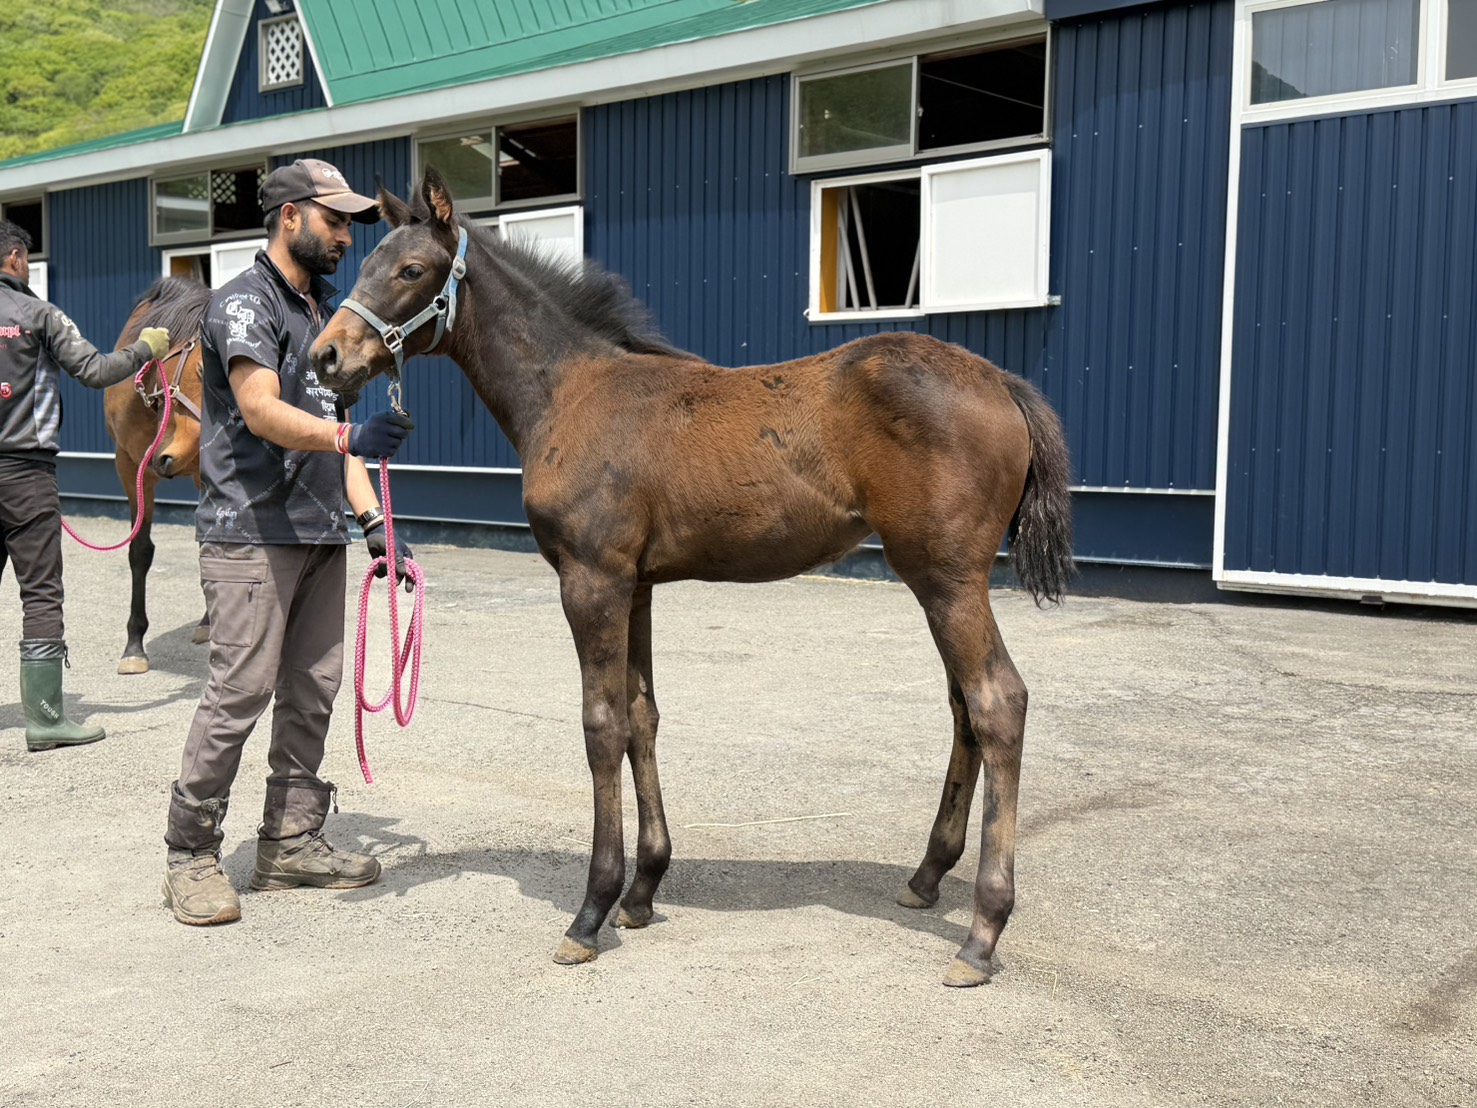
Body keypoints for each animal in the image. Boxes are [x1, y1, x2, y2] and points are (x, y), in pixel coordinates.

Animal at [310, 169, 1075, 988]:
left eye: (410, 270)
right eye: (361, 262)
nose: (326, 358)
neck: (572, 392)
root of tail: (999, 380)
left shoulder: (591, 580)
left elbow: (601, 726)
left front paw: (592, 909)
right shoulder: (636, 584)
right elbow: (641, 715)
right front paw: (644, 888)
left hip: (944, 576)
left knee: (997, 702)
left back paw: (982, 932)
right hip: (942, 581)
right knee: (965, 708)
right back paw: (927, 876)